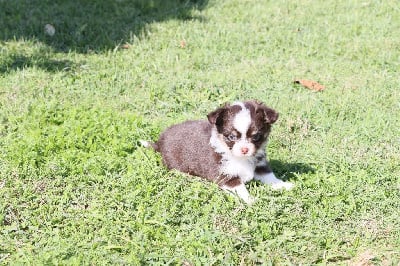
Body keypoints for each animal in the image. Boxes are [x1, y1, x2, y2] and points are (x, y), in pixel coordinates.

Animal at [141, 100, 294, 204]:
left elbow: (270, 177)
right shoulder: (226, 175)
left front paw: (283, 185)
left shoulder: (260, 164)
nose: (245, 149)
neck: (239, 158)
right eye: (231, 137)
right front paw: (250, 199)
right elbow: (240, 188)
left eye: (256, 136)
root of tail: (160, 142)